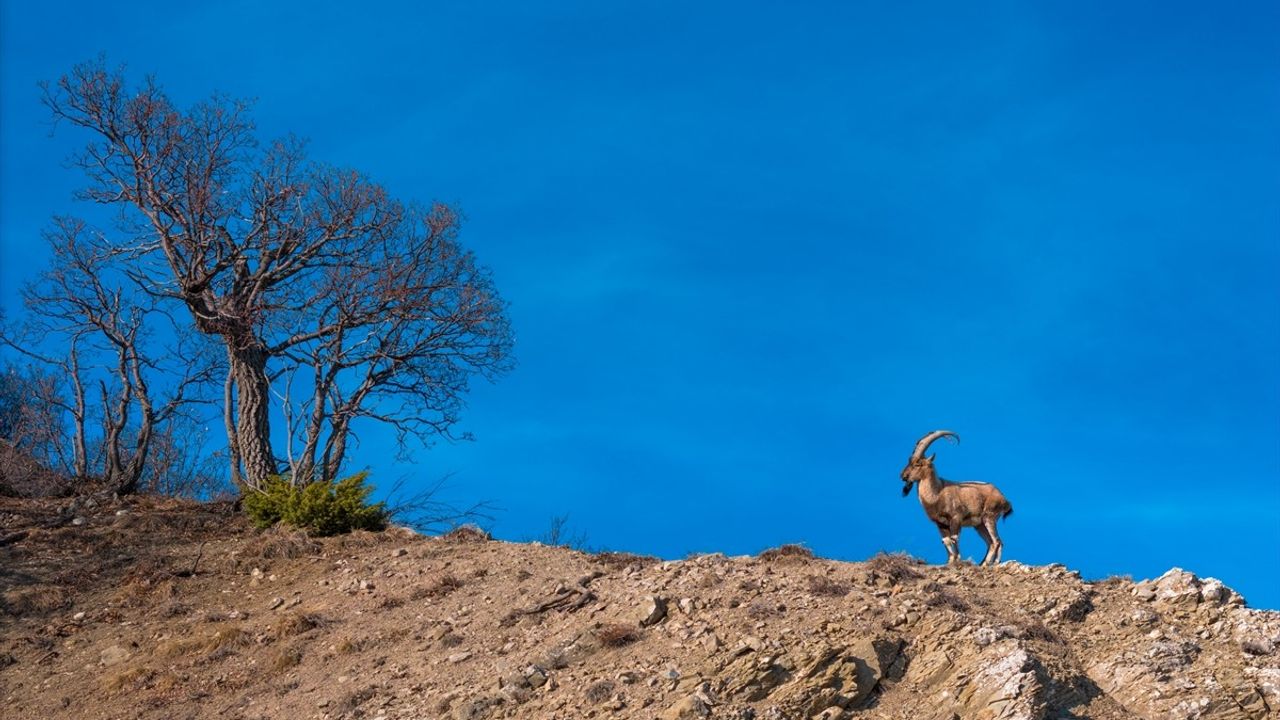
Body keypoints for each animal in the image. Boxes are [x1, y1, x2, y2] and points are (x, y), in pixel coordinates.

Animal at [896, 427, 1013, 563]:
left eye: (918, 464)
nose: (902, 476)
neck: (937, 494)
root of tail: (1004, 499)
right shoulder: (940, 523)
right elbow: (946, 541)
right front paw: (950, 561)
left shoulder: (956, 518)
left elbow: (954, 539)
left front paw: (958, 560)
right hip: (979, 525)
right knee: (990, 542)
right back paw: (983, 563)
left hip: (989, 517)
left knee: (997, 541)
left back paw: (993, 563)